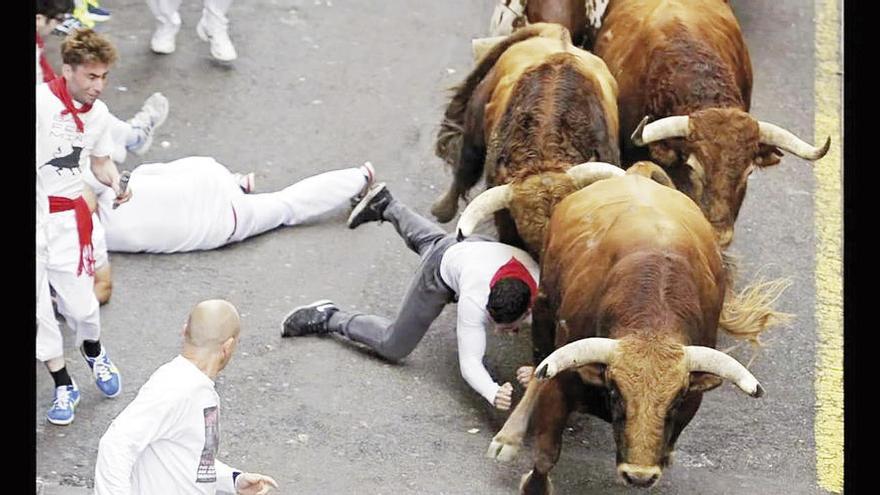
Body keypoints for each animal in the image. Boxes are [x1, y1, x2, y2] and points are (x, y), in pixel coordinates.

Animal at [434, 22, 620, 260]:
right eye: (528, 239)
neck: (544, 153)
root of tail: (556, 34)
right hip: (474, 123)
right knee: (465, 167)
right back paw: (442, 210)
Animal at [482, 173, 776, 492]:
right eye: (616, 392)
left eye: (676, 400)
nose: (639, 475)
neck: (652, 323)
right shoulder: (560, 382)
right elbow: (546, 453)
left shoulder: (691, 401)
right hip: (545, 309)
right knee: (538, 371)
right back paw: (508, 437)